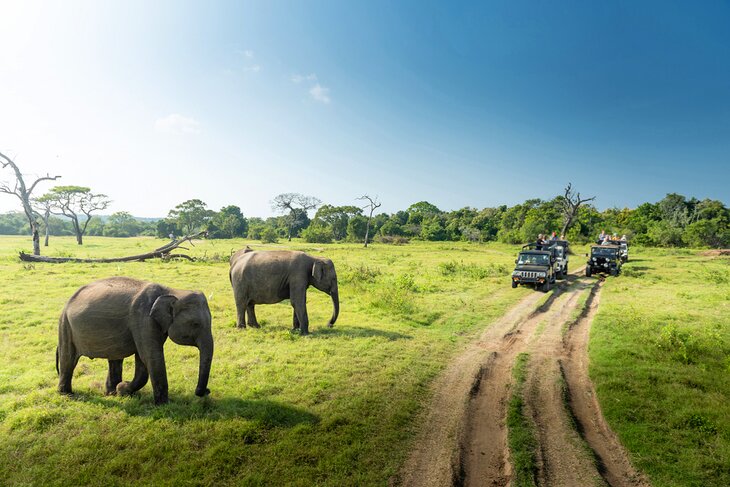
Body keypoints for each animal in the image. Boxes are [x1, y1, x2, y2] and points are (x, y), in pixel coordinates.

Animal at [57, 276, 213, 406]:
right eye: (195, 324)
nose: (206, 391)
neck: (171, 291)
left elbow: (143, 359)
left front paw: (122, 390)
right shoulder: (143, 318)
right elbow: (150, 357)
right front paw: (163, 405)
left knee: (115, 358)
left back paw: (111, 393)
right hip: (65, 325)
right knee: (68, 359)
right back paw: (67, 395)